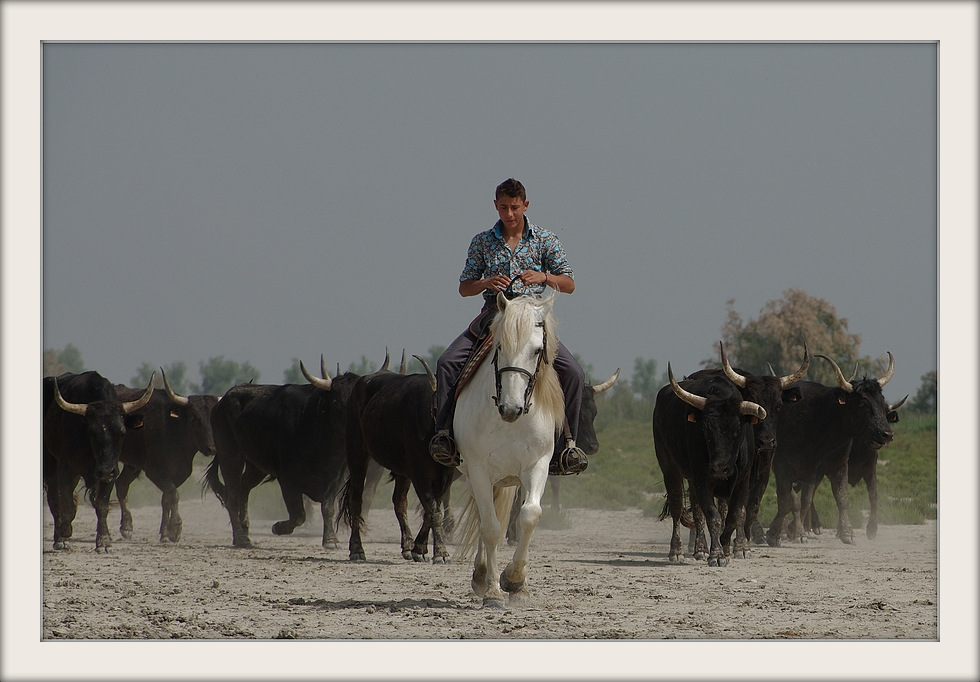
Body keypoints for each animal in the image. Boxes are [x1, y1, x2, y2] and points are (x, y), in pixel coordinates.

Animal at [43, 370, 155, 548]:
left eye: (122, 432)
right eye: (91, 433)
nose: (106, 470)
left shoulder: (110, 473)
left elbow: (101, 506)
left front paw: (104, 541)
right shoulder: (65, 469)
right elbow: (66, 506)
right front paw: (63, 538)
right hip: (51, 466)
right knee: (54, 500)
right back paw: (59, 535)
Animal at [114, 370, 219, 540]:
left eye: (213, 418)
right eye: (194, 418)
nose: (212, 448)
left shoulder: (179, 473)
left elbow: (166, 498)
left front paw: (165, 531)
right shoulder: (155, 471)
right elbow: (173, 494)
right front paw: (175, 528)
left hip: (132, 464)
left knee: (122, 485)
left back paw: (127, 527)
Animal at [454, 286, 564, 604]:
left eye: (538, 350)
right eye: (499, 346)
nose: (511, 409)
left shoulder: (537, 465)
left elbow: (529, 516)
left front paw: (515, 581)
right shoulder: (478, 469)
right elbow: (491, 527)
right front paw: (493, 590)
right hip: (475, 476)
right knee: (484, 517)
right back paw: (480, 575)